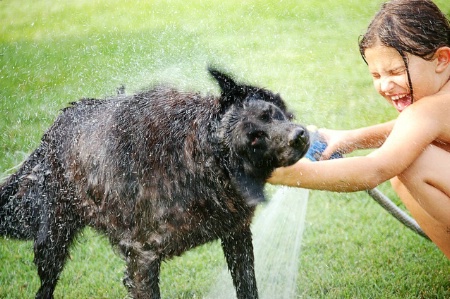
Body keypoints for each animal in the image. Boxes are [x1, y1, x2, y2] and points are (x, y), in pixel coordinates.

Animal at [0, 68, 310, 299]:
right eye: (254, 140)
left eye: (270, 113)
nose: (300, 136)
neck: (202, 157)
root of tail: (52, 130)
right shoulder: (143, 257)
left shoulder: (236, 233)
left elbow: (248, 288)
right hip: (53, 241)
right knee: (44, 288)